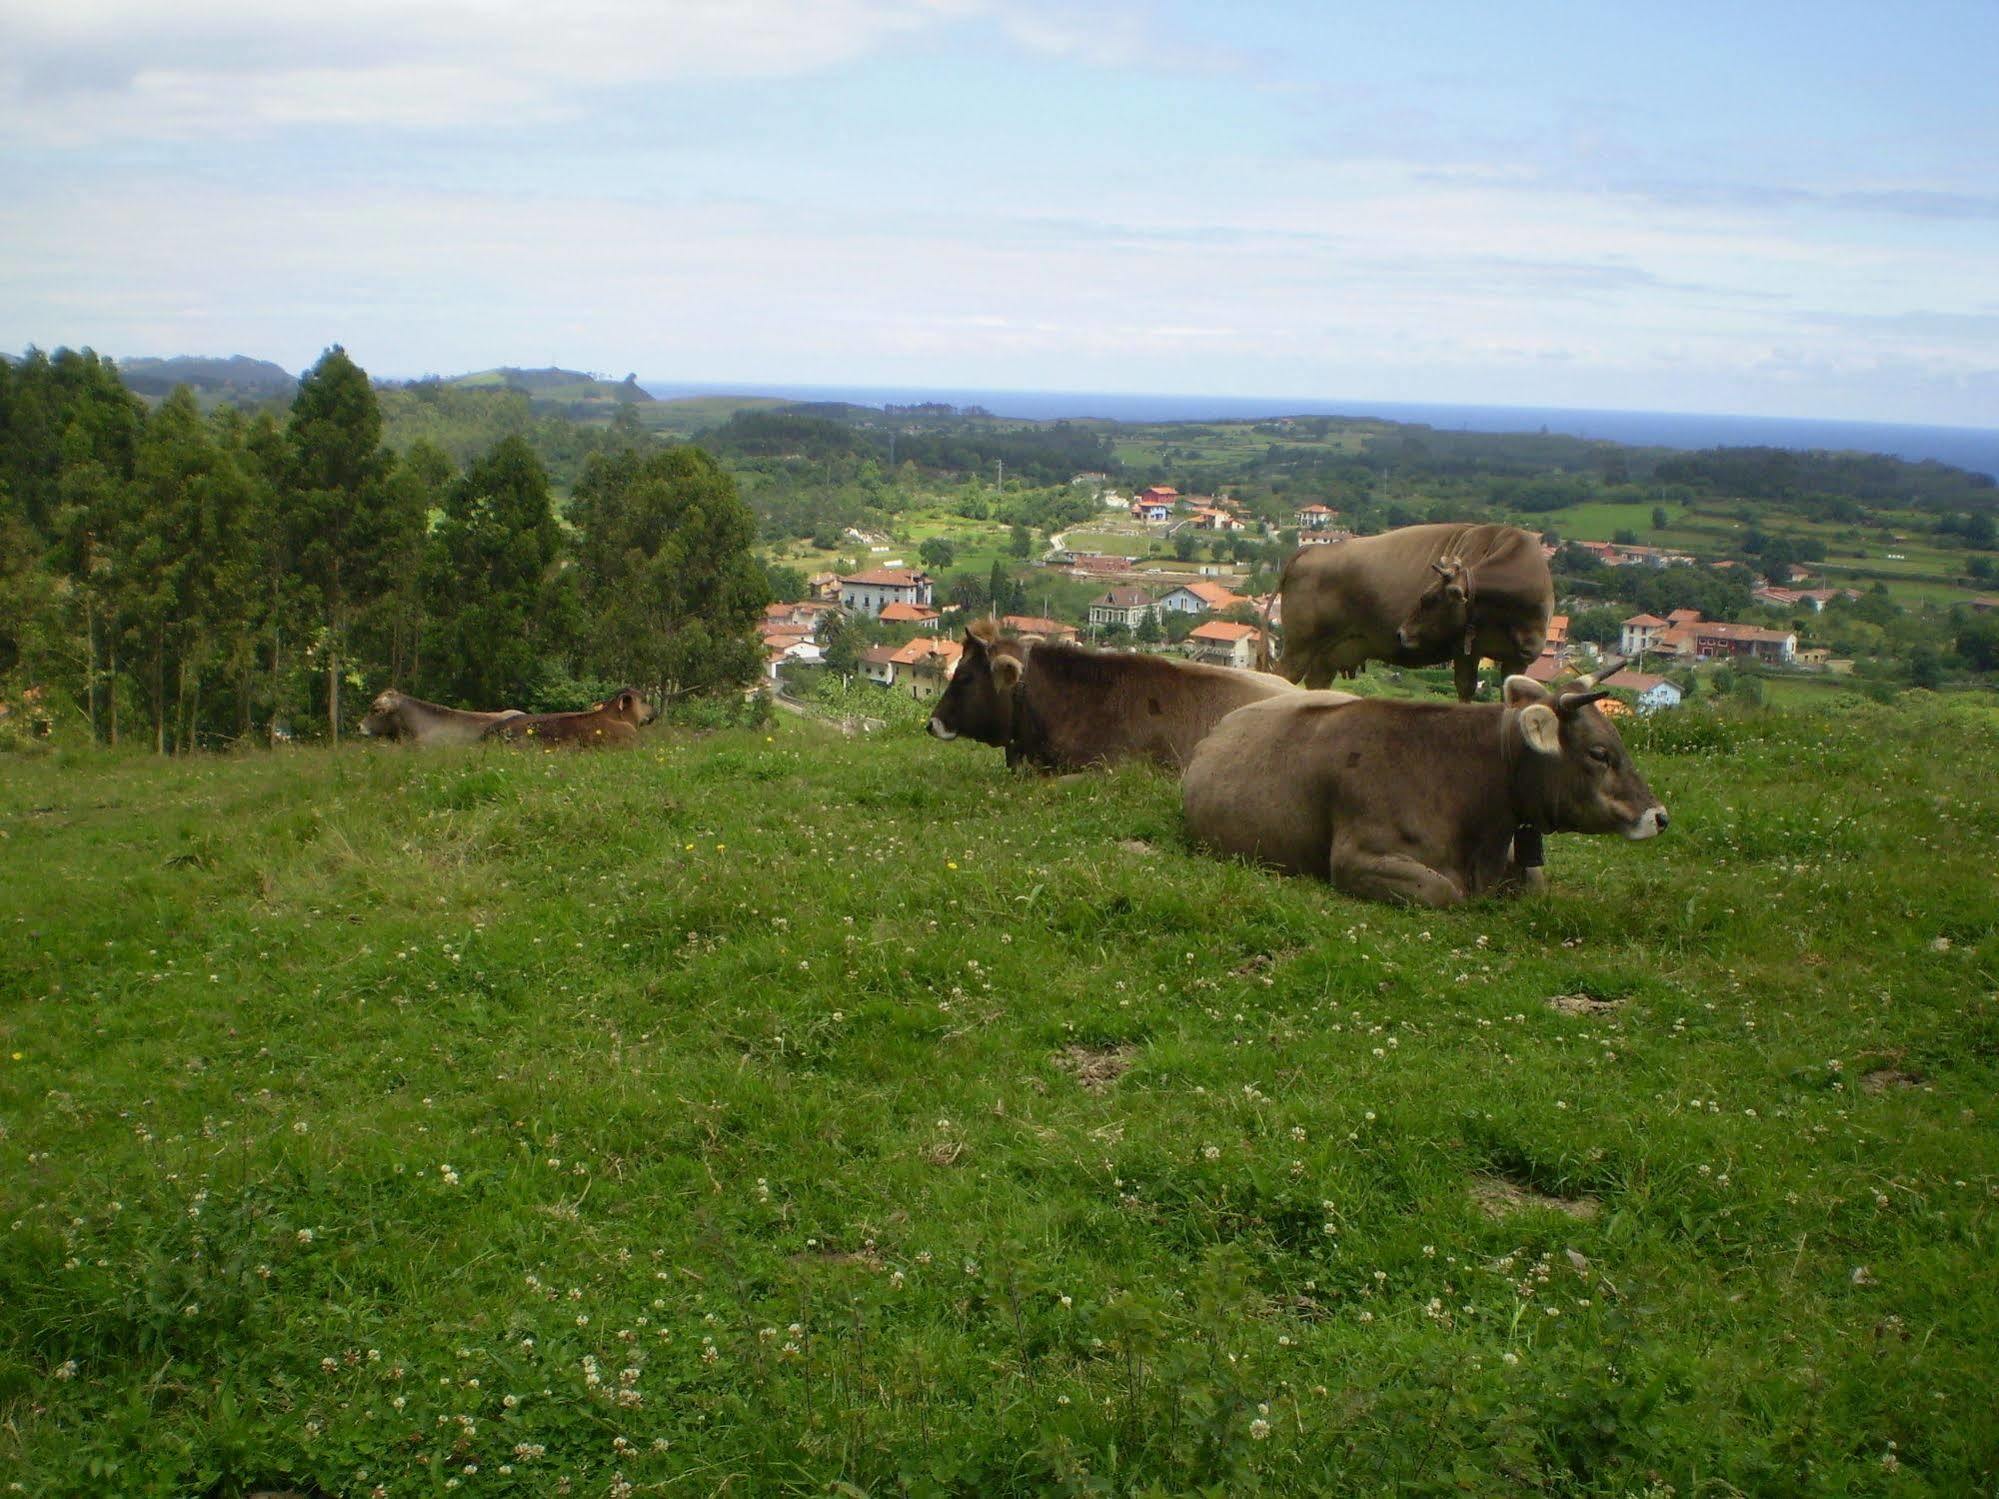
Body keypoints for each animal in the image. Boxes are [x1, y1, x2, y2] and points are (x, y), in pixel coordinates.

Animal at [1263, 523, 1559, 699]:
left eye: (1429, 600)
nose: (1401, 633)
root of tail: (1311, 548)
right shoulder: (1465, 649)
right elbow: (1465, 689)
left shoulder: (1518, 658)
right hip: (1300, 645)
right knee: (1277, 677)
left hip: (1328, 653)